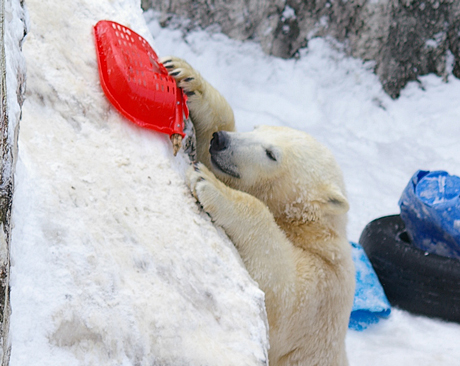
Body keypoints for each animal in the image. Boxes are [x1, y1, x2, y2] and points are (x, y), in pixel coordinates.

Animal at [162, 57, 356, 366]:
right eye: (255, 128)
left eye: (271, 154)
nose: (221, 141)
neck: (307, 226)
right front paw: (187, 77)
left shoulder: (322, 288)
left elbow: (279, 290)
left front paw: (210, 186)